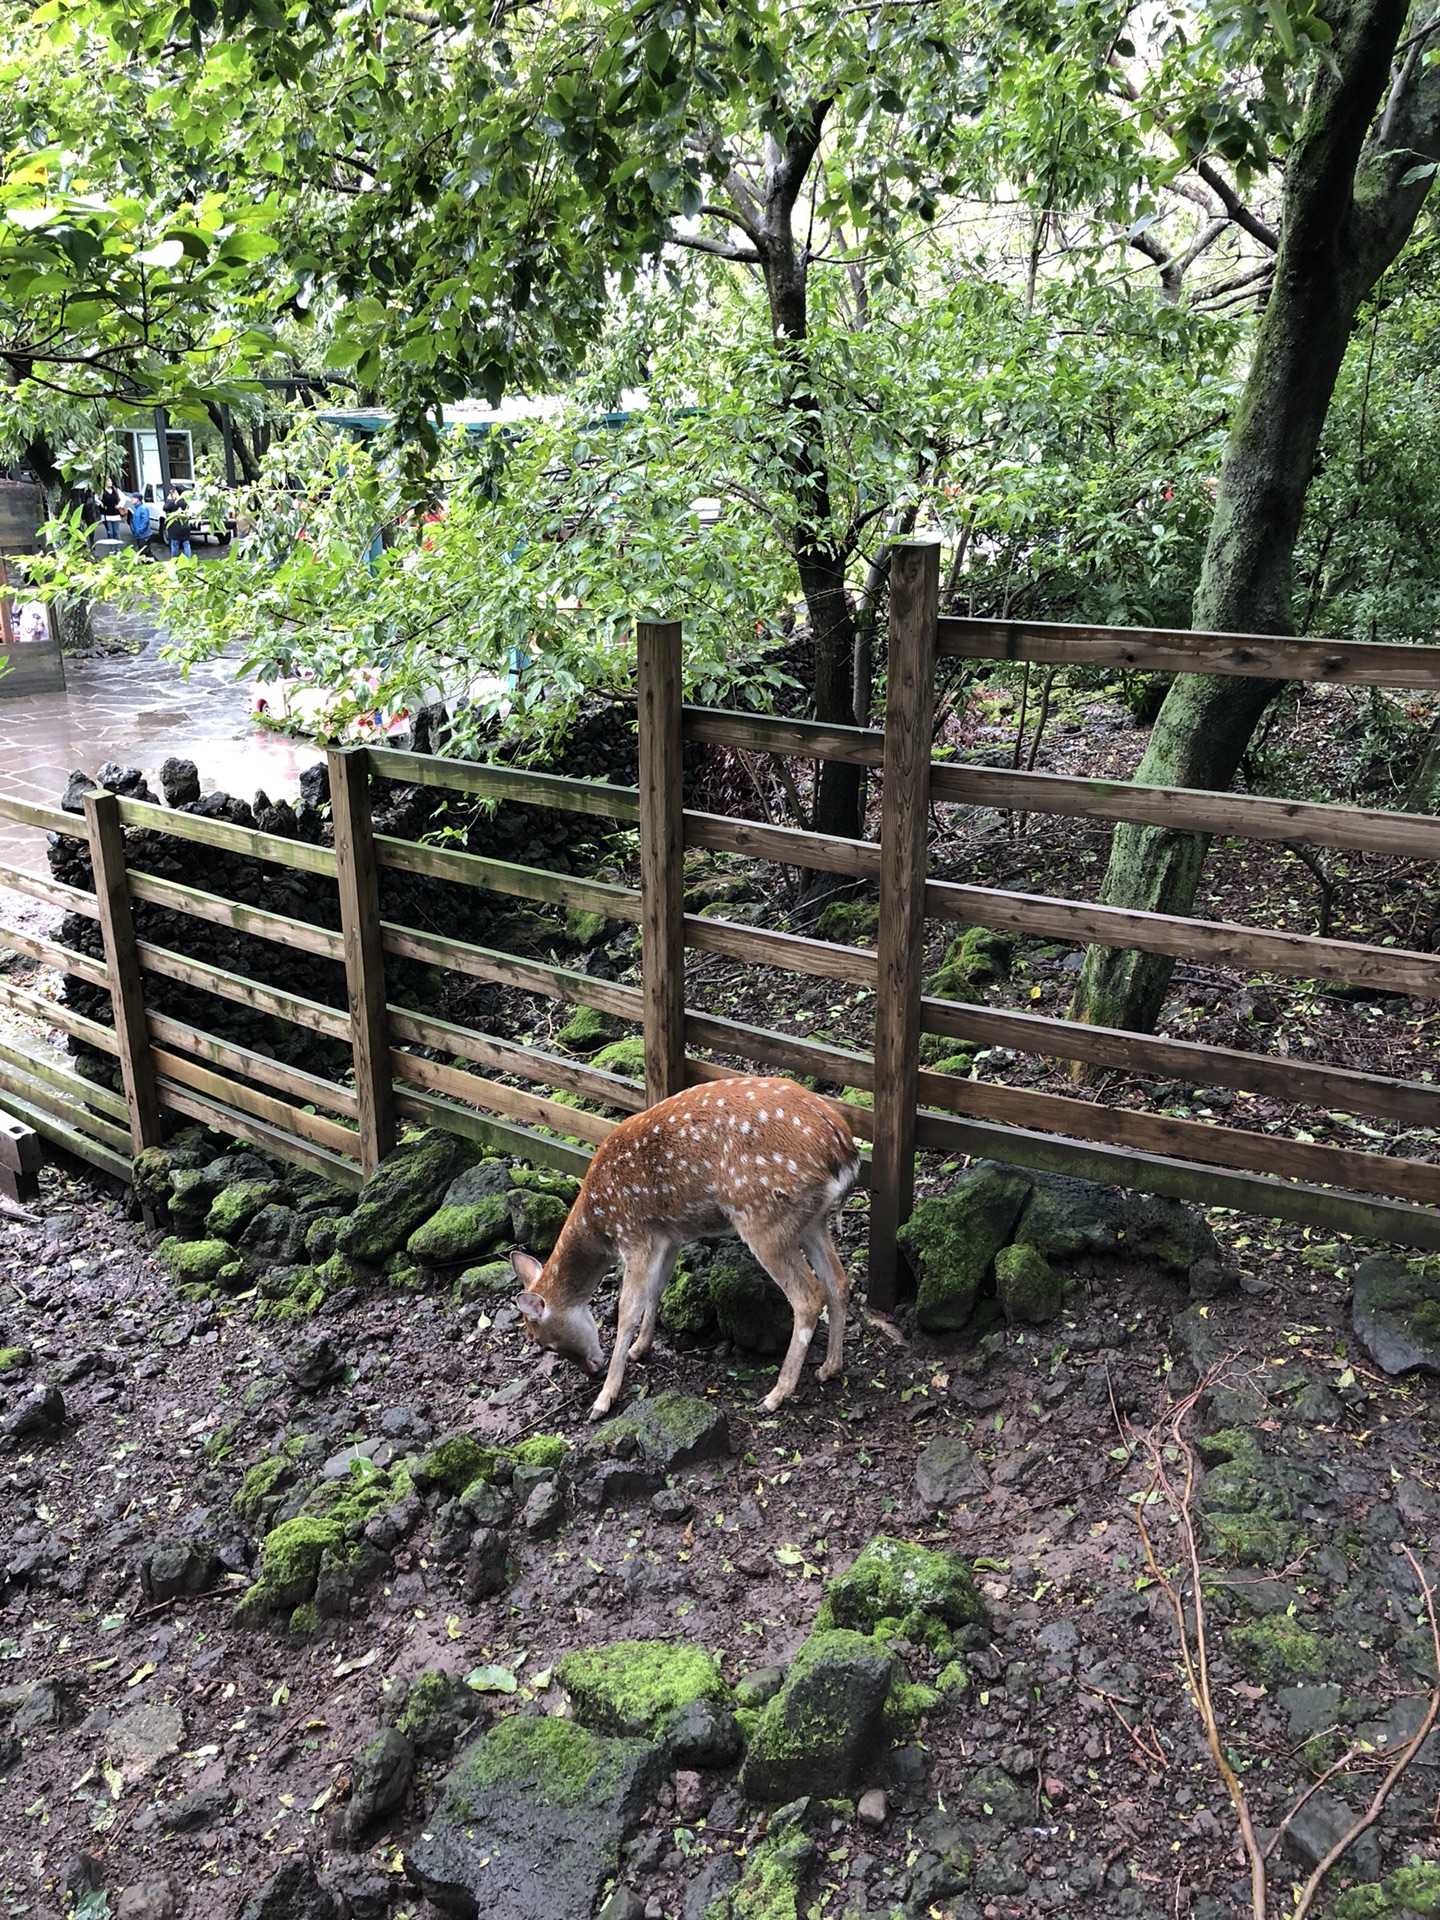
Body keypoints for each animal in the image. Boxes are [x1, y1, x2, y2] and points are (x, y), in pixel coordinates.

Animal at [506, 1075, 856, 1420]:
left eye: (545, 1342)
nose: (592, 1368)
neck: (599, 1221)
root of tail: (843, 1150)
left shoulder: (635, 1235)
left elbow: (627, 1309)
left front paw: (604, 1398)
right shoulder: (668, 1235)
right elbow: (657, 1288)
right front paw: (640, 1348)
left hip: (763, 1217)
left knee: (808, 1295)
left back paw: (775, 1396)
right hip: (811, 1221)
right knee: (838, 1281)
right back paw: (829, 1368)